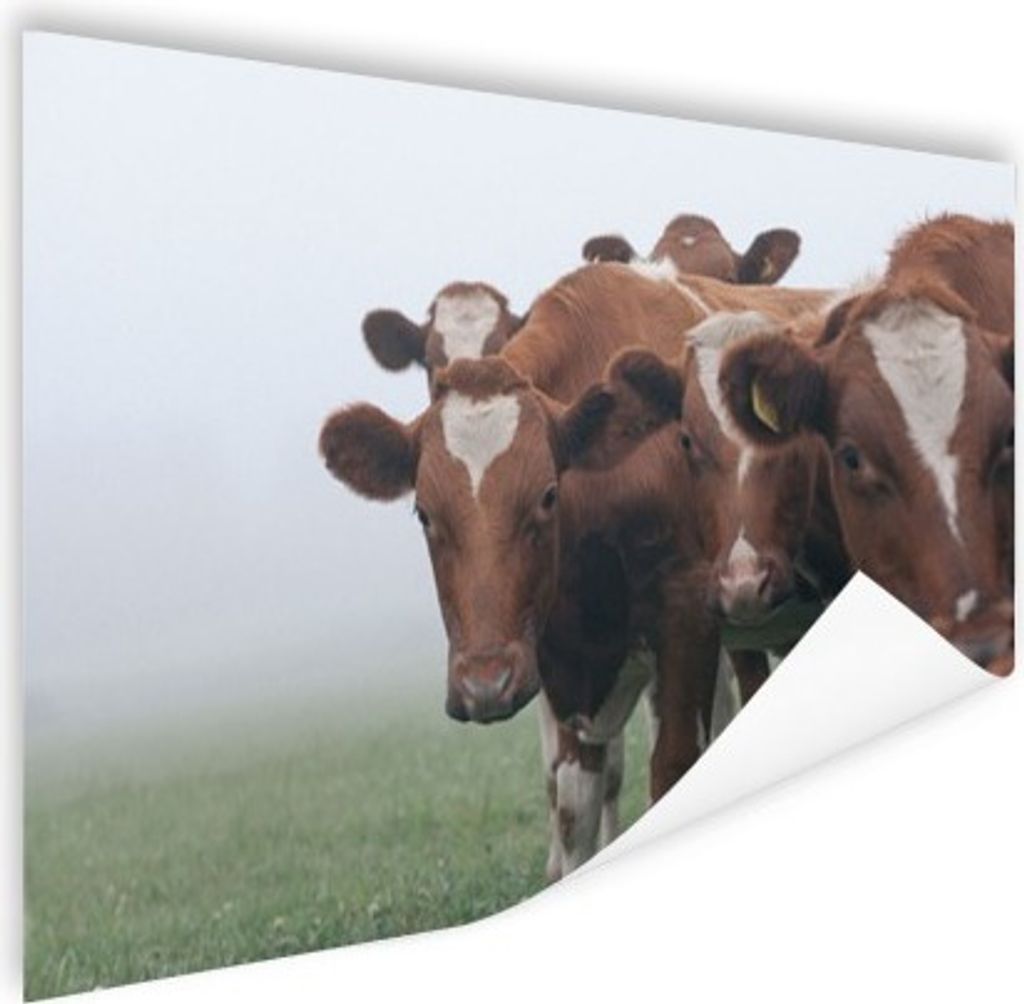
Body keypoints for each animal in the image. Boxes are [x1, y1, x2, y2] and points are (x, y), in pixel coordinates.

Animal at [321, 261, 832, 877]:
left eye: (547, 495)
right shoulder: (558, 659)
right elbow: (573, 809)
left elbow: (671, 769)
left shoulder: (686, 622)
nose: (483, 683)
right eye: (424, 512)